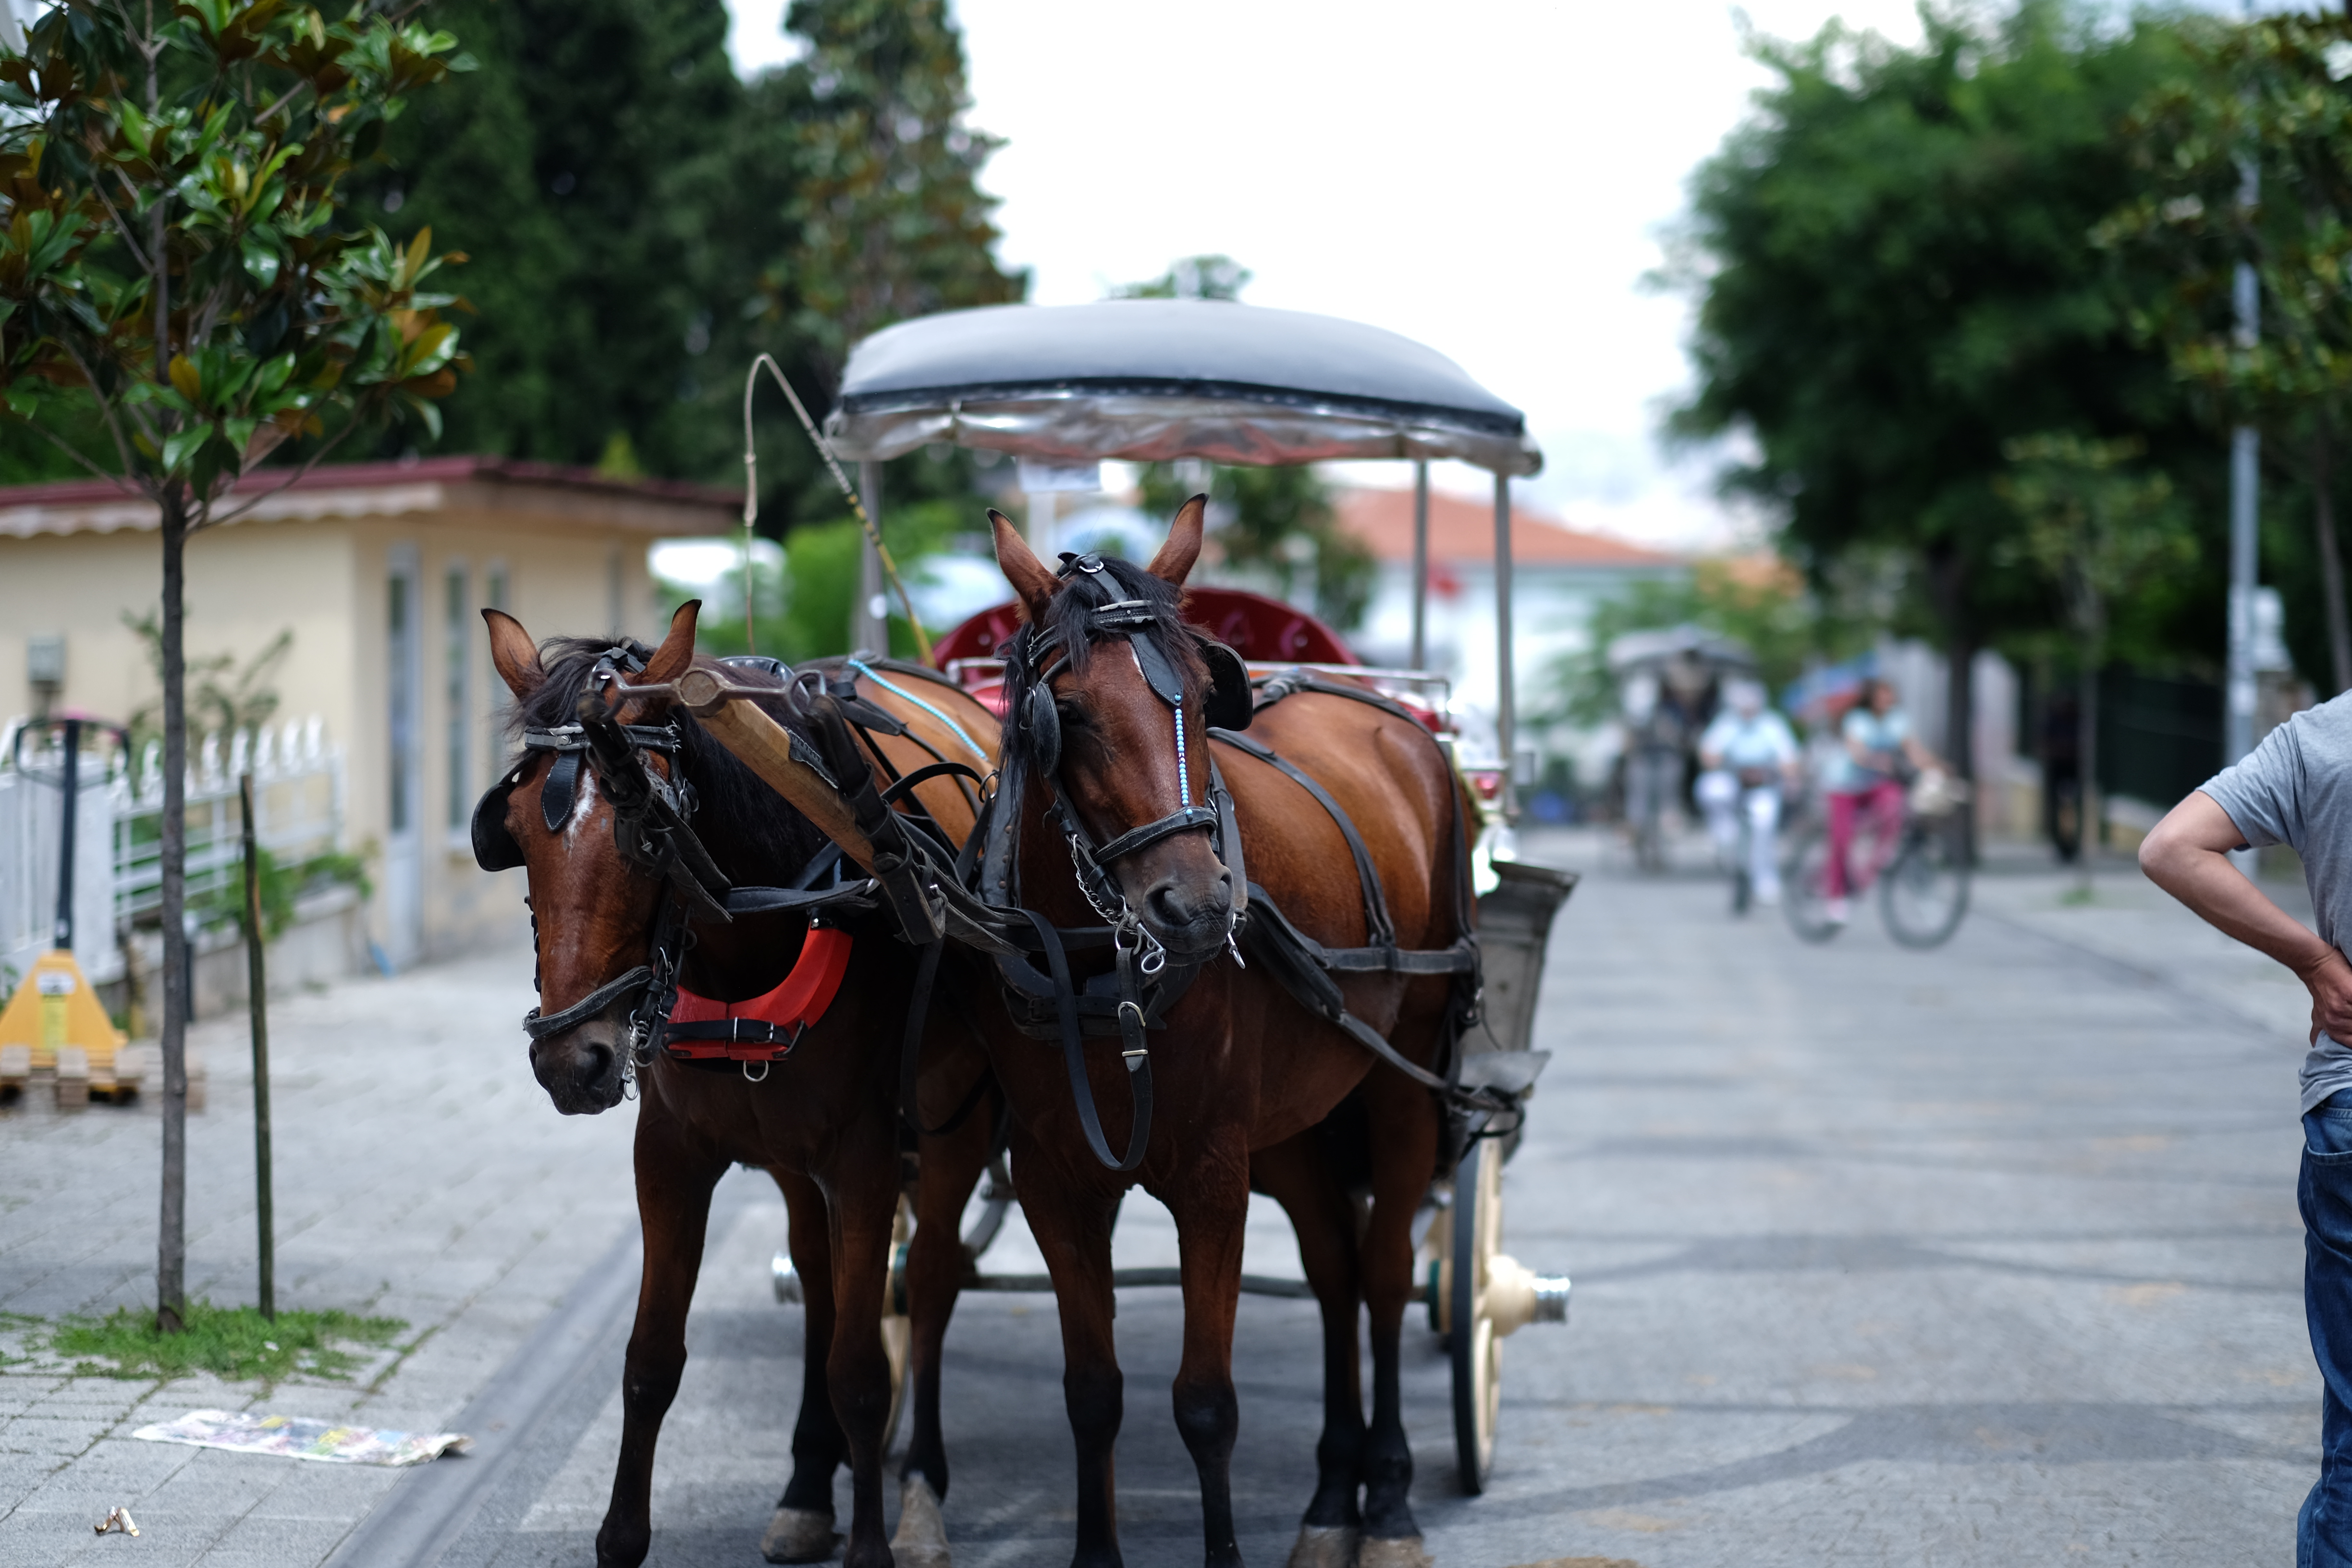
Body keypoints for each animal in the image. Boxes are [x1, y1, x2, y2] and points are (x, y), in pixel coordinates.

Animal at [487, 606, 1002, 1568]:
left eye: (645, 834)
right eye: (513, 831)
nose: (573, 1062)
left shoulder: (869, 1157)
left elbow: (862, 1370)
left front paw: (871, 1543)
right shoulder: (672, 1155)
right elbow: (651, 1360)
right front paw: (622, 1537)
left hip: (959, 1122)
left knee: (933, 1282)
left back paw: (921, 1490)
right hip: (794, 1158)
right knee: (817, 1275)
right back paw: (806, 1483)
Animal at [973, 503, 1468, 1568]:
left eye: (1206, 699)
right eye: (1066, 711)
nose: (1198, 906)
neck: (1102, 967)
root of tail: (1399, 725)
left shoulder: (1210, 1175)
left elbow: (1204, 1402)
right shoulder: (1052, 1177)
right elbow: (1093, 1393)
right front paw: (1096, 1553)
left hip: (1402, 1083)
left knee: (1384, 1275)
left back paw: (1388, 1499)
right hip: (1297, 1129)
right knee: (1334, 1272)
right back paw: (1332, 1495)